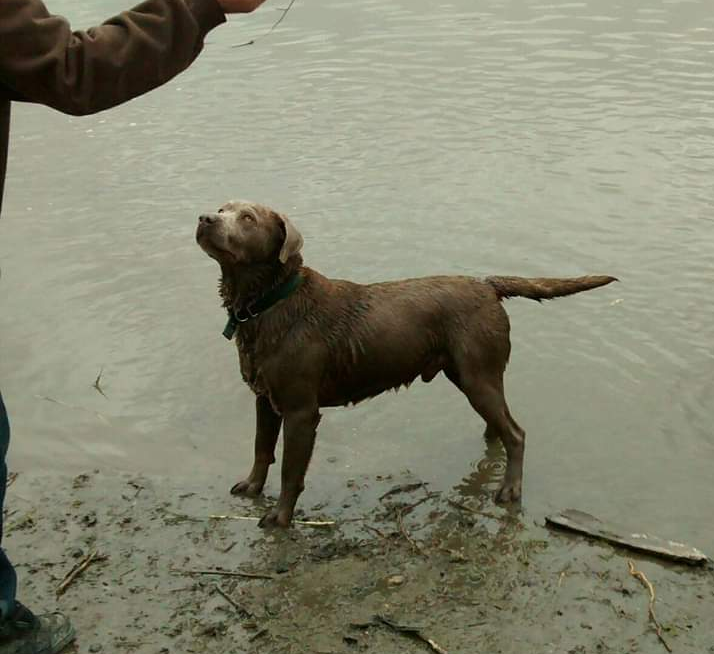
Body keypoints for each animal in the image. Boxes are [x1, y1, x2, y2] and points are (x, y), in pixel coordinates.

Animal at [193, 200, 612, 528]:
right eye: (222, 208)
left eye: (247, 217)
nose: (204, 218)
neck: (268, 306)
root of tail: (487, 285)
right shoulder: (264, 398)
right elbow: (261, 448)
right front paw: (251, 486)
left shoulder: (301, 411)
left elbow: (290, 472)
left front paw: (280, 517)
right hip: (470, 375)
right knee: (500, 426)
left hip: (478, 374)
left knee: (517, 434)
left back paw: (509, 489)